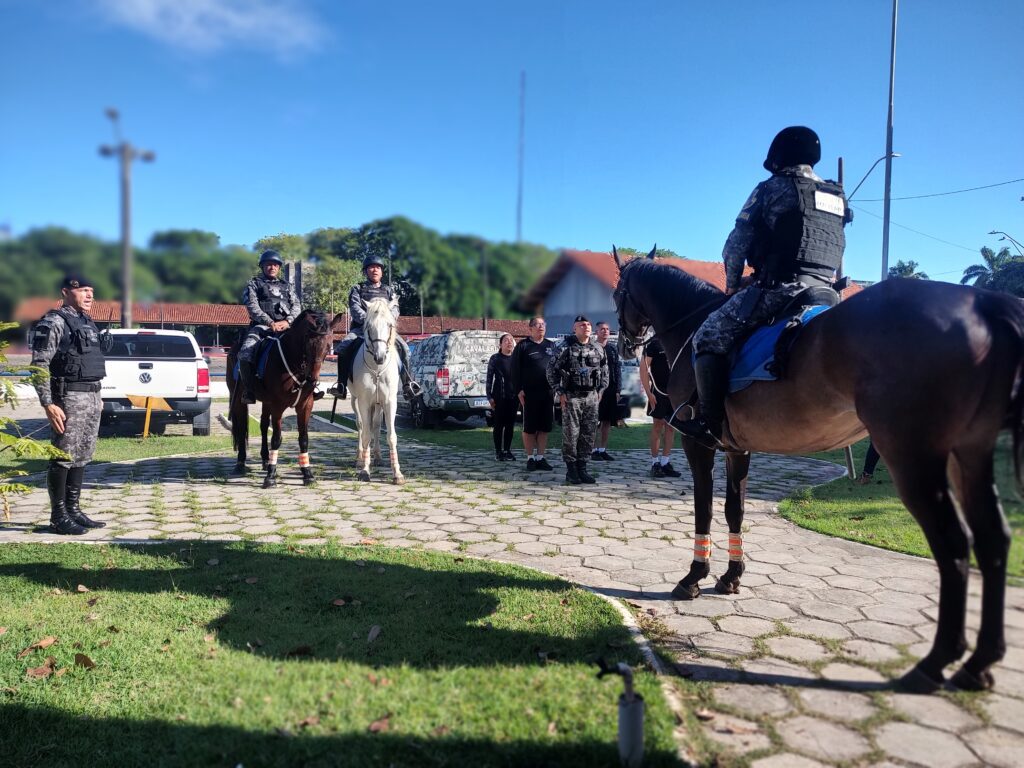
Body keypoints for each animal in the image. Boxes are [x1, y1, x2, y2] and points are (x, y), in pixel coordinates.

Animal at [224, 309, 344, 489]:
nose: (312, 379)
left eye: (329, 345)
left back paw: (265, 459)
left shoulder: (305, 405)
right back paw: (240, 464)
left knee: (263, 426)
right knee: (242, 427)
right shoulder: (278, 406)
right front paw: (270, 477)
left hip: (266, 402)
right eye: (308, 344)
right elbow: (276, 439)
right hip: (239, 399)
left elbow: (303, 439)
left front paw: (307, 474)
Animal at [348, 296, 403, 483]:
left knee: (376, 426)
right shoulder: (364, 402)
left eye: (389, 324)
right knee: (360, 425)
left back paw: (377, 457)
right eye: (369, 326)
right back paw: (359, 458)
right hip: (355, 401)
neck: (377, 370)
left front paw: (397, 474)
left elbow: (391, 436)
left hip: (378, 404)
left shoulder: (389, 402)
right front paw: (364, 470)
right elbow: (365, 434)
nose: (380, 357)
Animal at [610, 249, 1024, 696]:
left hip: (914, 459)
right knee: (993, 540)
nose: (627, 344)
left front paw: (693, 577)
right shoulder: (738, 447)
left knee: (954, 545)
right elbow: (735, 510)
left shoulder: (698, 443)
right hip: (969, 455)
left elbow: (703, 508)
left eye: (618, 293)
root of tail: (984, 304)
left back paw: (936, 662)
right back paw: (978, 663)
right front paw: (731, 576)